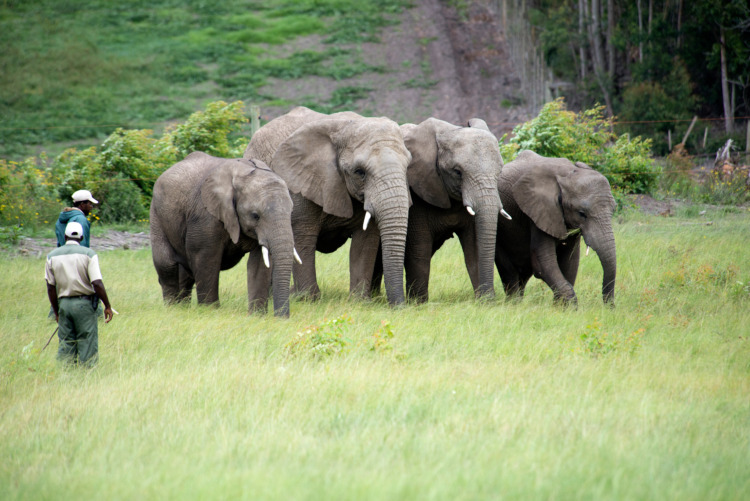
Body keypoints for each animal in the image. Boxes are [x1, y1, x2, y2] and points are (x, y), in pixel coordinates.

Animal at [149, 152, 296, 316]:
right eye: (255, 215)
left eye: (291, 212)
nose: (281, 318)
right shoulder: (205, 216)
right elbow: (206, 258)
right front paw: (209, 311)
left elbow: (259, 263)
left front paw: (257, 316)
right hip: (157, 214)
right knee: (166, 264)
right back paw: (173, 309)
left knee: (185, 273)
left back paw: (182, 308)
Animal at [245, 106, 412, 304]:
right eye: (359, 172)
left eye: (408, 167)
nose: (399, 305)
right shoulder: (299, 183)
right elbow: (302, 236)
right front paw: (308, 299)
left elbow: (365, 242)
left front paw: (359, 301)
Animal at [394, 117, 512, 302]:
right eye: (457, 172)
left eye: (499, 172)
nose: (492, 298)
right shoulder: (417, 191)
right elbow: (419, 249)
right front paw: (418, 304)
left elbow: (474, 248)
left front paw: (485, 302)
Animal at [496, 149, 620, 304]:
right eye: (581, 213)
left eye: (613, 209)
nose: (610, 306)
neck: (568, 173)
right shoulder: (539, 211)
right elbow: (543, 263)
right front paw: (570, 306)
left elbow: (570, 262)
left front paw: (560, 307)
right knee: (509, 271)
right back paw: (513, 304)